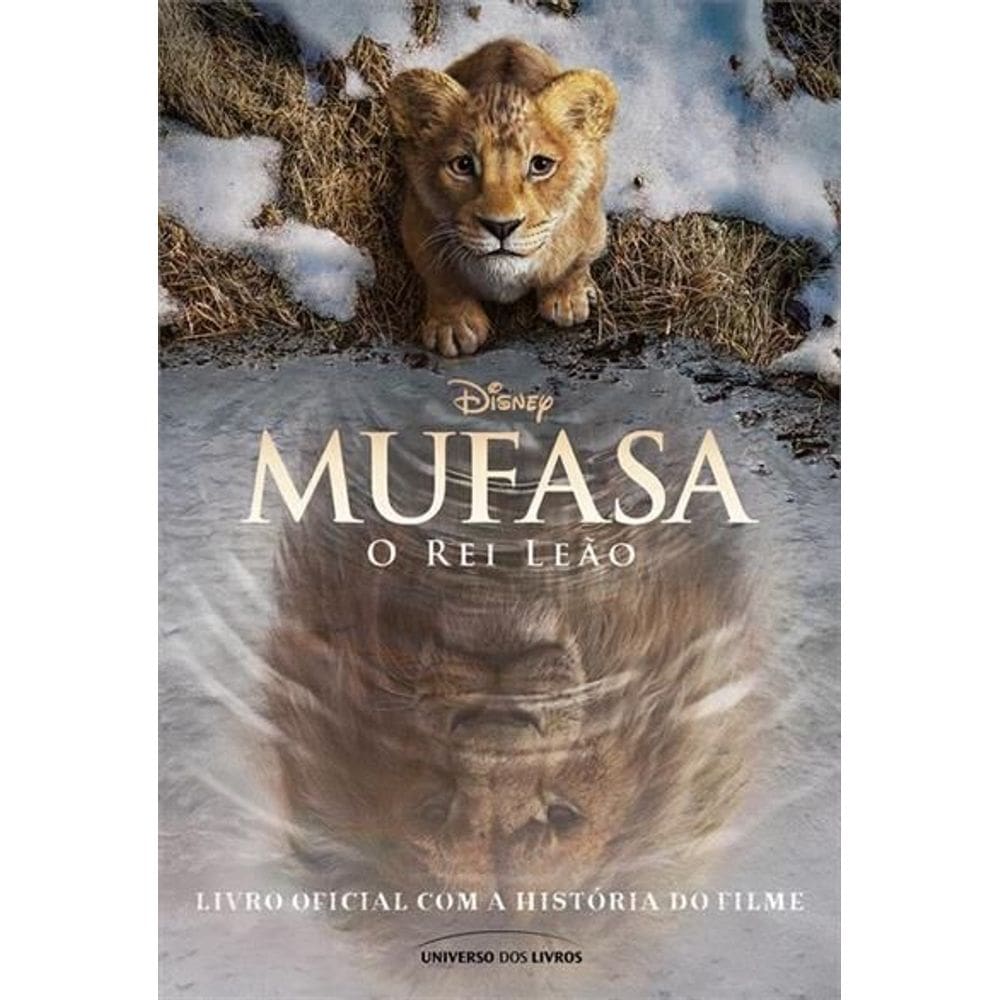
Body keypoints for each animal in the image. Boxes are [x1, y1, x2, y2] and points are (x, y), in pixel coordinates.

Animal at [386, 39, 618, 357]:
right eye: (463, 165)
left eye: (541, 165)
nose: (501, 227)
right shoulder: (418, 224)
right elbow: (441, 277)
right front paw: (453, 326)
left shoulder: (592, 224)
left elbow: (574, 264)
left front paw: (568, 299)